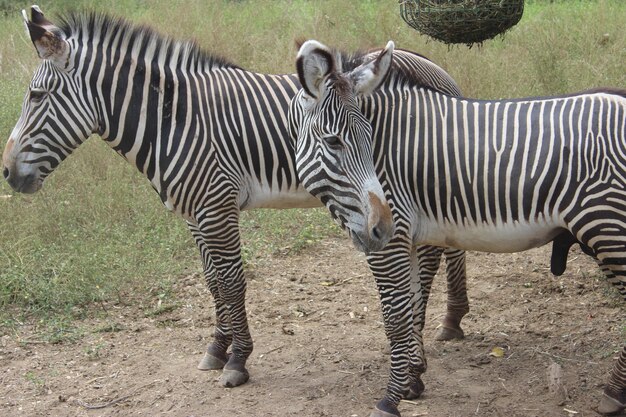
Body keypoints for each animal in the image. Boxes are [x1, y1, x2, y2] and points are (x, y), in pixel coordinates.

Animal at [288, 39, 624, 416]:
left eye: (369, 138)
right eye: (333, 142)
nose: (380, 228)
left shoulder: (393, 241)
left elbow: (396, 317)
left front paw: (390, 398)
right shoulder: (407, 238)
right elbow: (413, 306)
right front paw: (413, 379)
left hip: (608, 229)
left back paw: (614, 393)